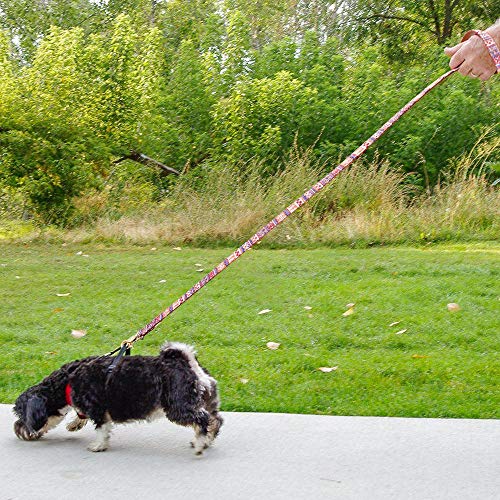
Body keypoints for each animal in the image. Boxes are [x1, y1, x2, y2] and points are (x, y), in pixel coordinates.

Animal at [12, 342, 223, 456]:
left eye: (21, 415)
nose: (18, 429)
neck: (68, 381)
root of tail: (188, 363)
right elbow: (82, 416)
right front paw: (74, 423)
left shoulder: (98, 410)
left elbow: (101, 429)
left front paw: (98, 446)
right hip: (206, 401)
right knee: (216, 420)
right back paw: (206, 440)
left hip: (177, 408)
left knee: (203, 420)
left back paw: (200, 444)